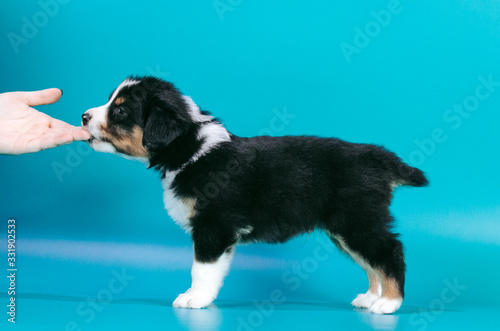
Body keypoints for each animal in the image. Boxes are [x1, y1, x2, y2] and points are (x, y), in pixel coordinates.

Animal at [81, 76, 426, 316]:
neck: (190, 150)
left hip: (357, 220)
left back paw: (389, 303)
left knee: (390, 252)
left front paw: (195, 298)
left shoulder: (213, 227)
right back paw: (370, 298)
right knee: (371, 261)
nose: (83, 116)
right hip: (344, 229)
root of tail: (378, 156)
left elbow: (202, 269)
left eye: (120, 110)